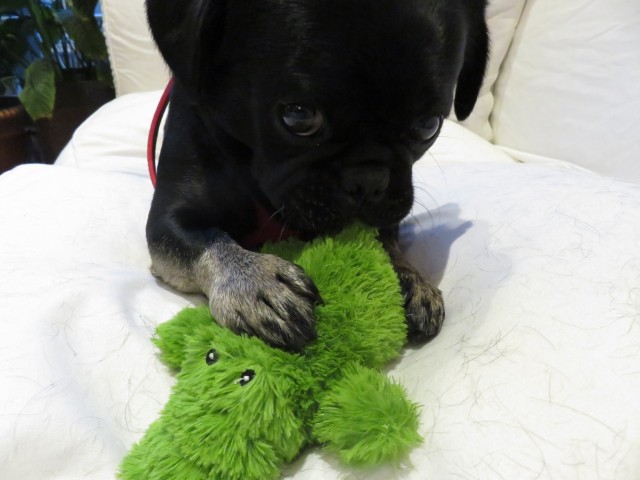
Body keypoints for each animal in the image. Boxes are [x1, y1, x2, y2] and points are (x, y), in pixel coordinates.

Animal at [146, 1, 490, 350]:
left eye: (428, 126)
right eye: (298, 116)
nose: (369, 179)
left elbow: (381, 238)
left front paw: (407, 275)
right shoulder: (168, 222)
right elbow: (207, 241)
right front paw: (256, 282)